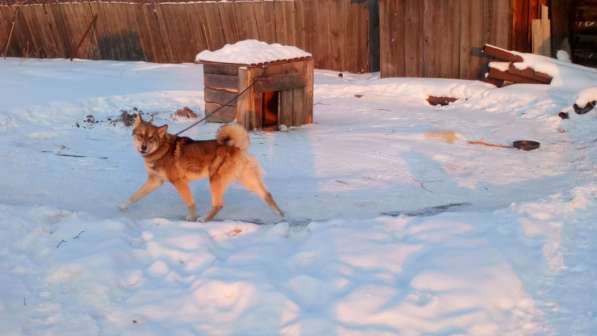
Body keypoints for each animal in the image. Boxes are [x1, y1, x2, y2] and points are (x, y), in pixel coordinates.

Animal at [120, 114, 284, 222]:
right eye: (140, 136)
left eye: (151, 138)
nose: (143, 147)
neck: (161, 149)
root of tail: (236, 148)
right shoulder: (155, 181)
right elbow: (134, 196)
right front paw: (122, 207)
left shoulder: (179, 182)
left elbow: (190, 202)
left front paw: (192, 217)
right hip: (247, 180)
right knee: (267, 194)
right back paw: (280, 215)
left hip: (215, 180)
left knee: (218, 204)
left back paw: (204, 219)